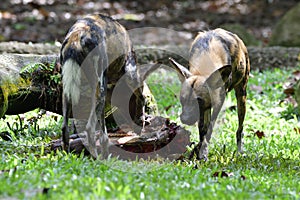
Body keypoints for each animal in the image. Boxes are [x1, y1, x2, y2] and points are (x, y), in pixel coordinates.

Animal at [61, 13, 142, 158]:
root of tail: (78, 34)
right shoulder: (130, 71)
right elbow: (142, 98)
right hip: (102, 89)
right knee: (90, 128)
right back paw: (97, 158)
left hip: (68, 91)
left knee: (65, 128)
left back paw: (67, 155)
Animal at [169, 28, 251, 159]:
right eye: (182, 99)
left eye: (198, 100)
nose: (185, 119)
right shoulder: (203, 108)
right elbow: (202, 128)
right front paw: (199, 151)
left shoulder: (217, 102)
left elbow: (209, 128)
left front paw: (203, 152)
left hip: (241, 97)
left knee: (240, 127)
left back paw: (239, 151)